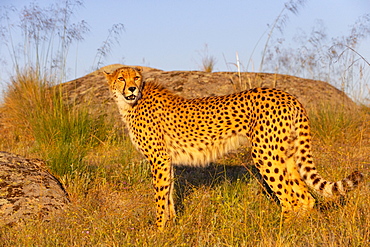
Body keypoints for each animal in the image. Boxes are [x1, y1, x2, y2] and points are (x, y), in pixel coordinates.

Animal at [103, 66, 362, 230]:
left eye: (136, 77)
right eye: (121, 78)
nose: (132, 89)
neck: (130, 104)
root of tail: (287, 95)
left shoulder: (158, 160)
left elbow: (159, 197)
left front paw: (157, 230)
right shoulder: (166, 161)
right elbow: (168, 195)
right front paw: (171, 226)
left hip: (265, 155)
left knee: (289, 198)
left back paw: (282, 231)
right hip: (286, 155)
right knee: (305, 197)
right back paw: (299, 230)